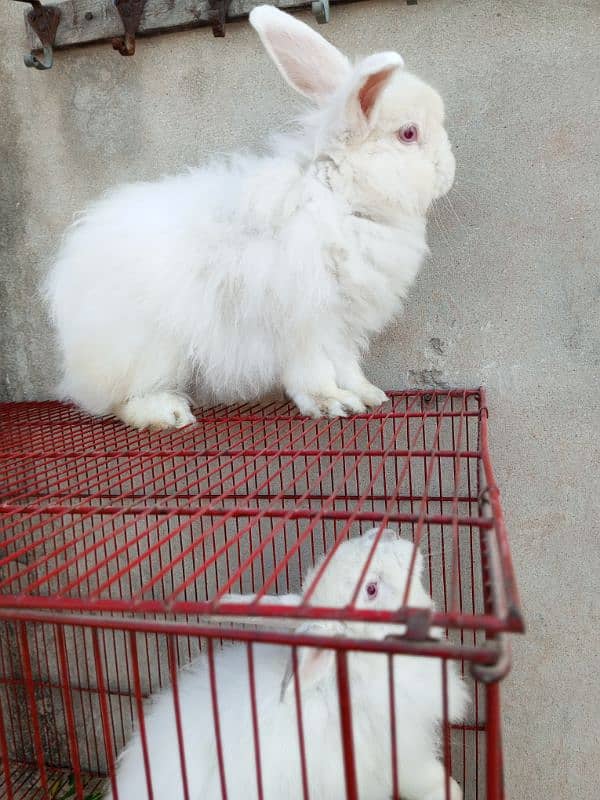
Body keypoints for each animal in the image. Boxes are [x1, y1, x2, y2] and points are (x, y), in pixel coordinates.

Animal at [44, 4, 454, 432]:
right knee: (122, 401)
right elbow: (314, 372)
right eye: (409, 134)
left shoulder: (343, 325)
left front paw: (367, 394)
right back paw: (167, 412)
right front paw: (332, 403)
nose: (448, 172)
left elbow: (347, 366)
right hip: (149, 351)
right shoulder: (306, 321)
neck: (340, 198)